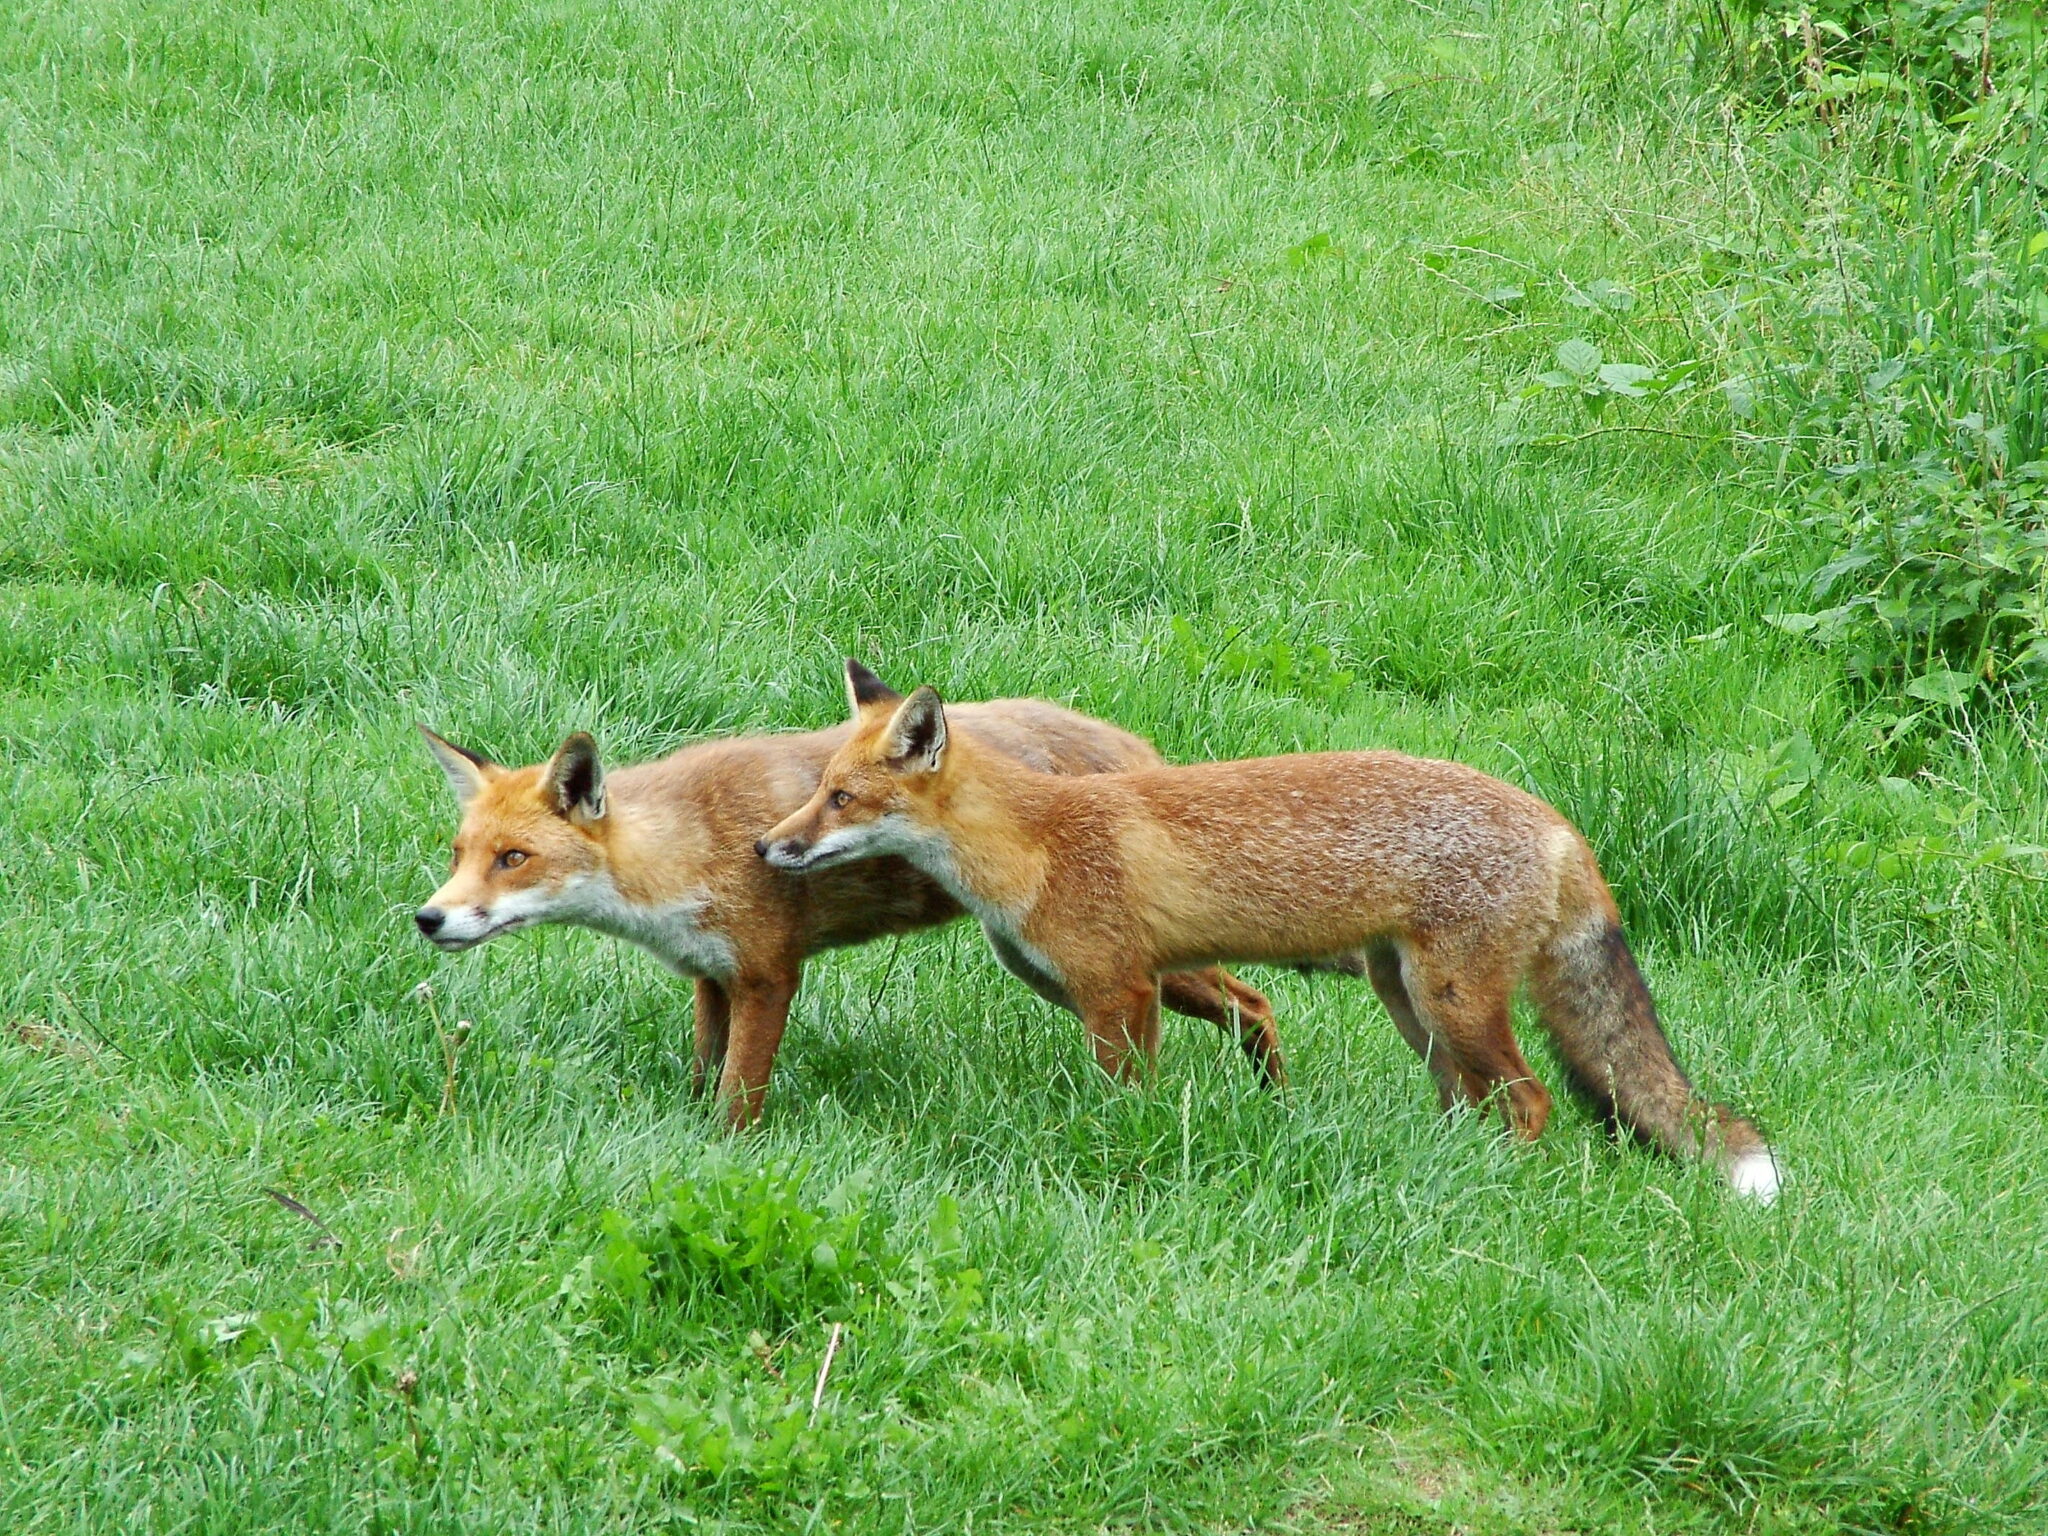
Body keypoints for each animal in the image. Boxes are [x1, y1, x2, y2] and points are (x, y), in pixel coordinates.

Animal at [412, 682, 1282, 1129]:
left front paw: (725, 1158)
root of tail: (1124, 741)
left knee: (1255, 1000)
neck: (680, 850)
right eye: (458, 855)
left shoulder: (768, 975)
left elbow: (738, 1097)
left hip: (1109, 965)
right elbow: (702, 1077)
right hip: (1041, 965)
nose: (428, 919)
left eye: (514, 859)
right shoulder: (710, 979)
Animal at [757, 661, 1781, 1200]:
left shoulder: (1117, 989)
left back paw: (1503, 1188)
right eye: (818, 786)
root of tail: (1561, 824)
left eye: (841, 798)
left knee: (1531, 1102)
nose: (768, 846)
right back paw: (1444, 1173)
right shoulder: (1139, 982)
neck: (1036, 843)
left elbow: (1124, 1102)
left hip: (1454, 1001)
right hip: (1409, 1002)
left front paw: (1122, 1154)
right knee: (1473, 1100)